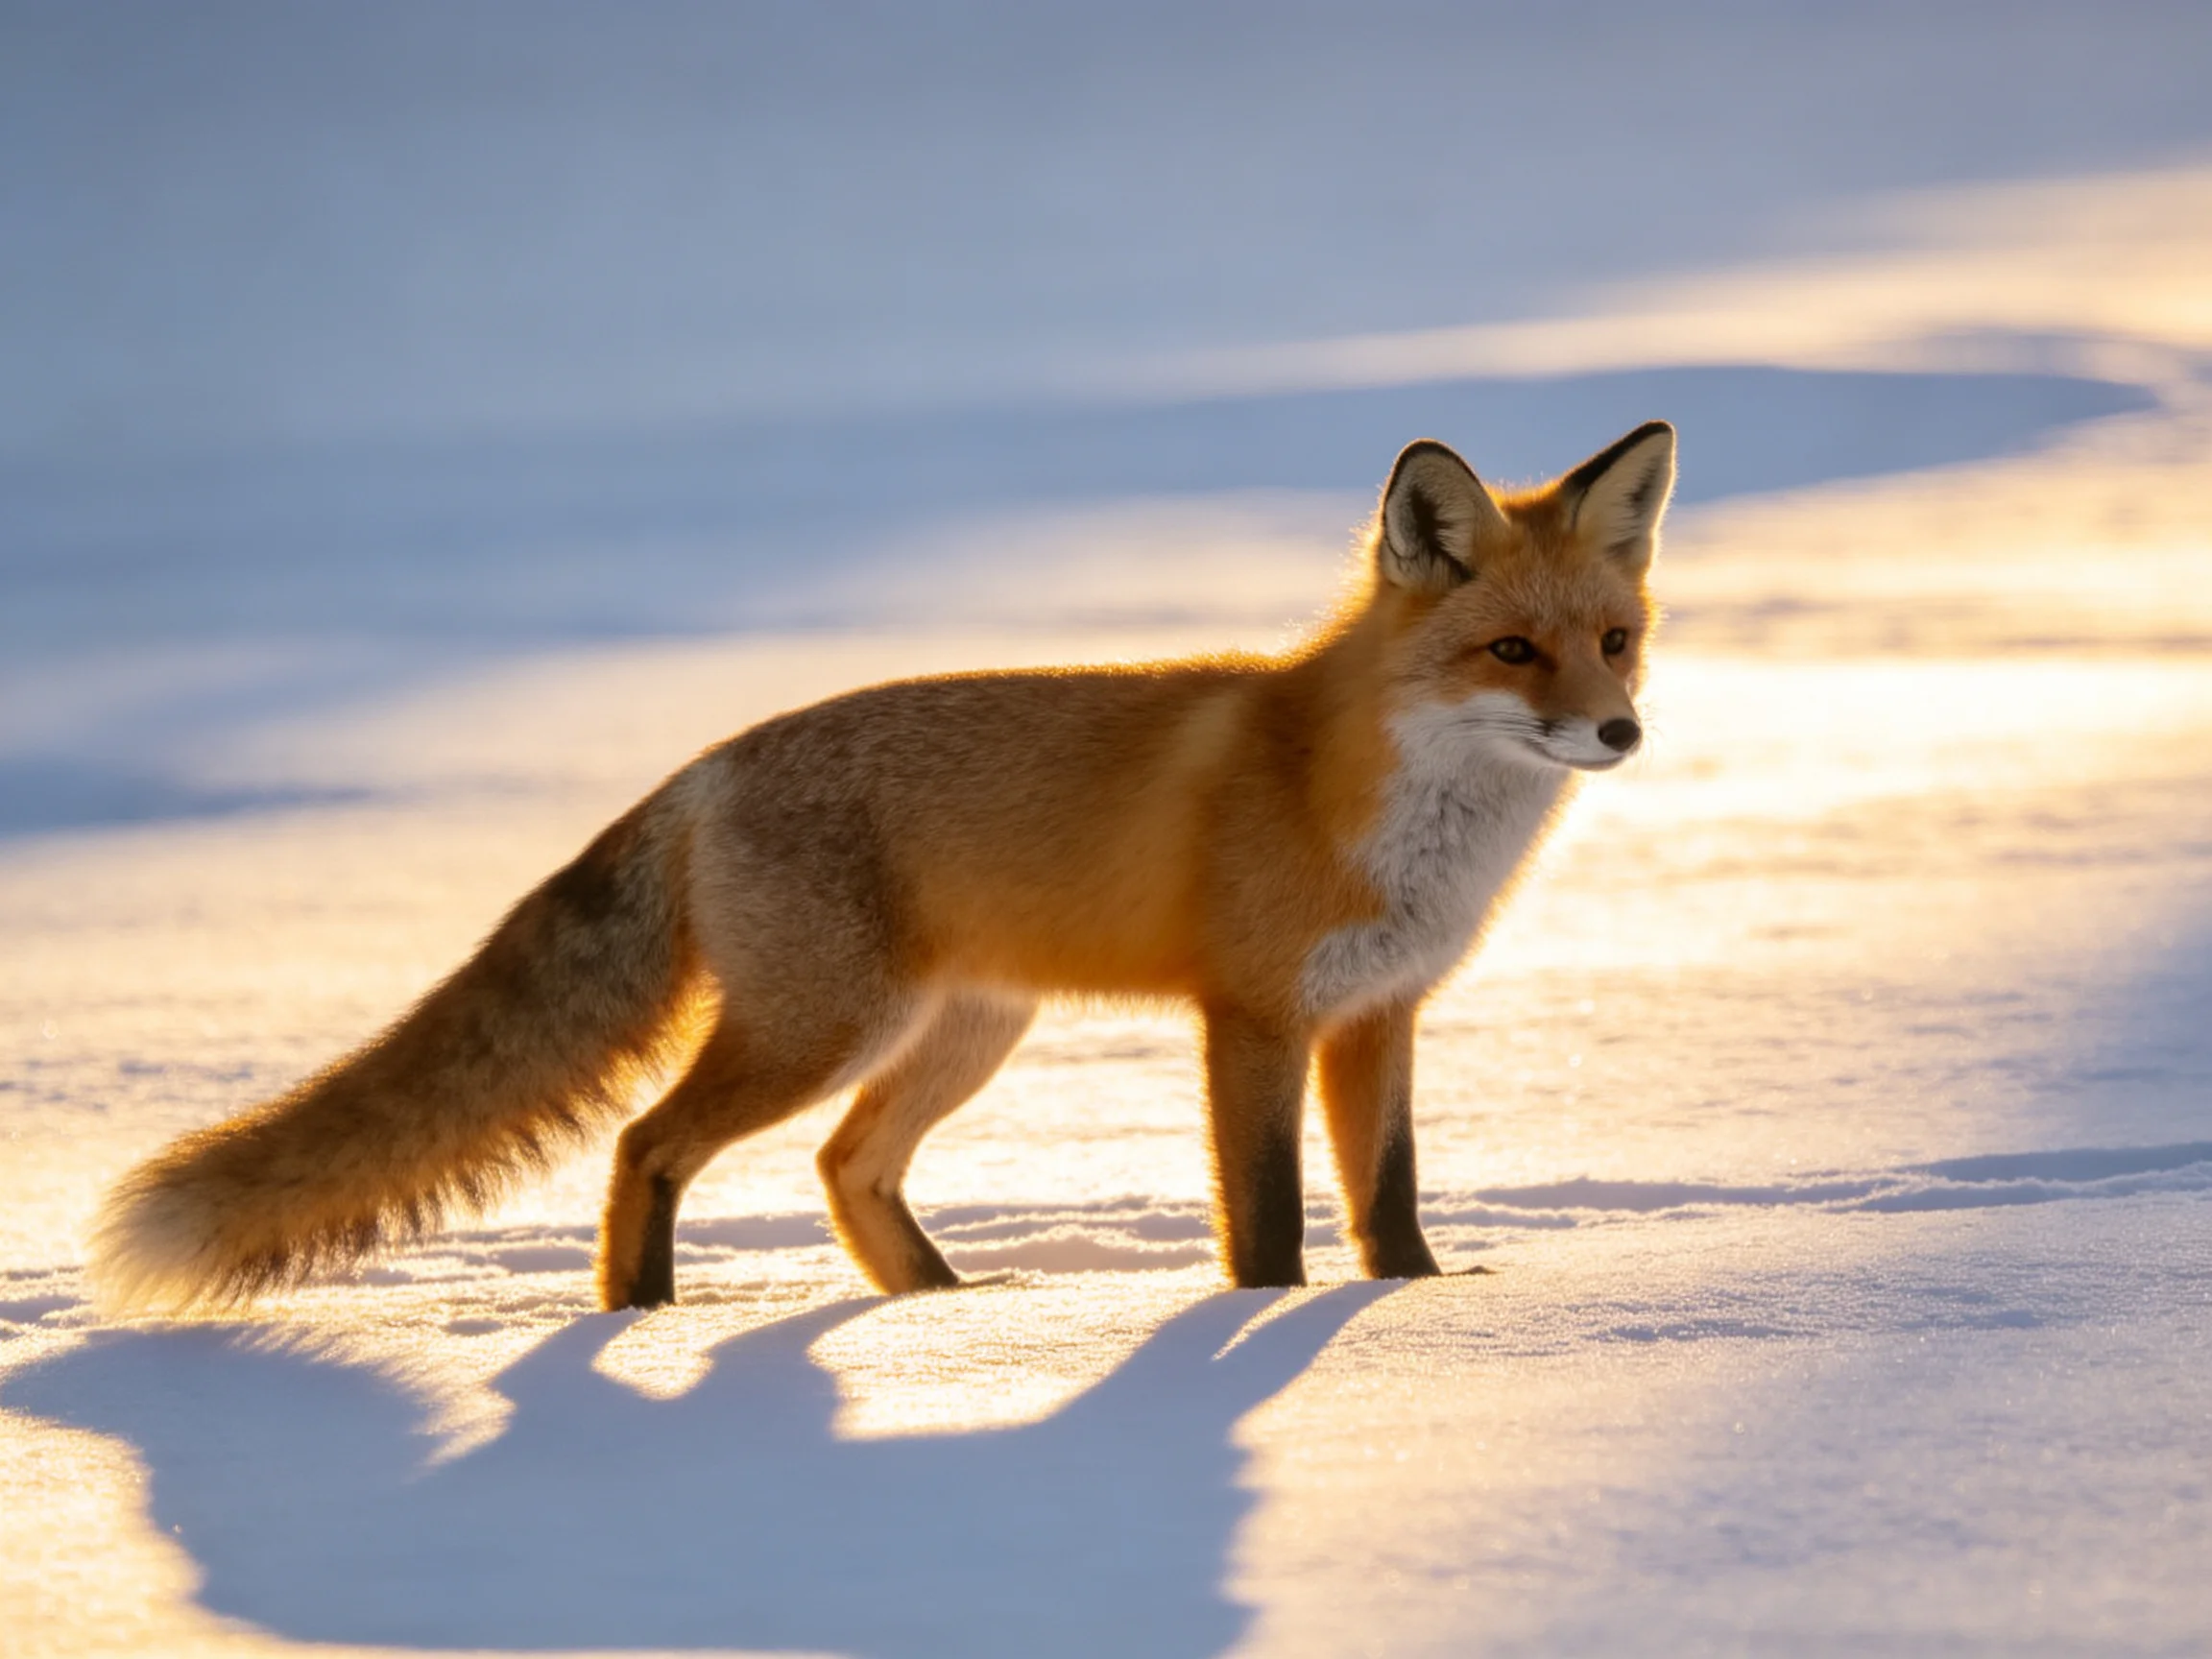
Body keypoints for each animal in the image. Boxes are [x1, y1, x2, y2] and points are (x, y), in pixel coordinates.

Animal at [90, 422, 1674, 1314]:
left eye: (1615, 639)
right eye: (1510, 650)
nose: (1621, 731)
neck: (1383, 808)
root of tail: (705, 764)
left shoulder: (1380, 1014)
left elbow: (1388, 1204)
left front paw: (1415, 1312)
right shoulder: (1254, 1017)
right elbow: (1272, 1221)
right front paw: (1264, 1329)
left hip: (961, 1031)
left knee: (845, 1168)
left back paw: (944, 1314)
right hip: (828, 1025)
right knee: (648, 1144)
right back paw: (643, 1324)